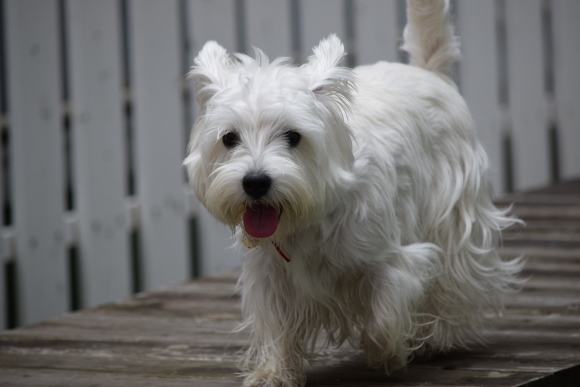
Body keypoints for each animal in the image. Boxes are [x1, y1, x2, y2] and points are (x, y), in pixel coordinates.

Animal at [184, 1, 524, 386]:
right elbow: (275, 324)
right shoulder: (270, 275)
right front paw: (273, 372)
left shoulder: (390, 260)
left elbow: (383, 315)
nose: (255, 182)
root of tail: (427, 72)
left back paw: (437, 337)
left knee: (455, 280)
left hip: (454, 215)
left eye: (293, 136)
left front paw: (385, 353)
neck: (307, 220)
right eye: (229, 138)